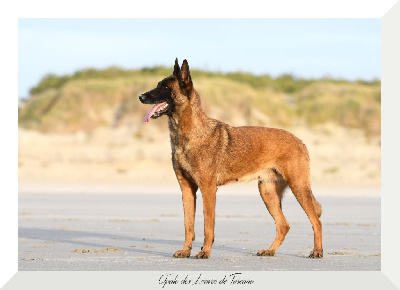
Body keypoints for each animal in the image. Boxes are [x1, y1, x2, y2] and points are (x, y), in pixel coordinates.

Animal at [139, 58, 324, 258]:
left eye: (165, 87)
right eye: (158, 84)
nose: (141, 97)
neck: (188, 133)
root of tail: (300, 141)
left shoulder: (208, 190)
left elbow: (208, 226)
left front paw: (205, 252)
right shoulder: (187, 189)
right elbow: (188, 225)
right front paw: (186, 251)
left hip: (298, 187)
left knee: (316, 221)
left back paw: (317, 251)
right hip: (267, 192)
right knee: (284, 225)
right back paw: (270, 250)